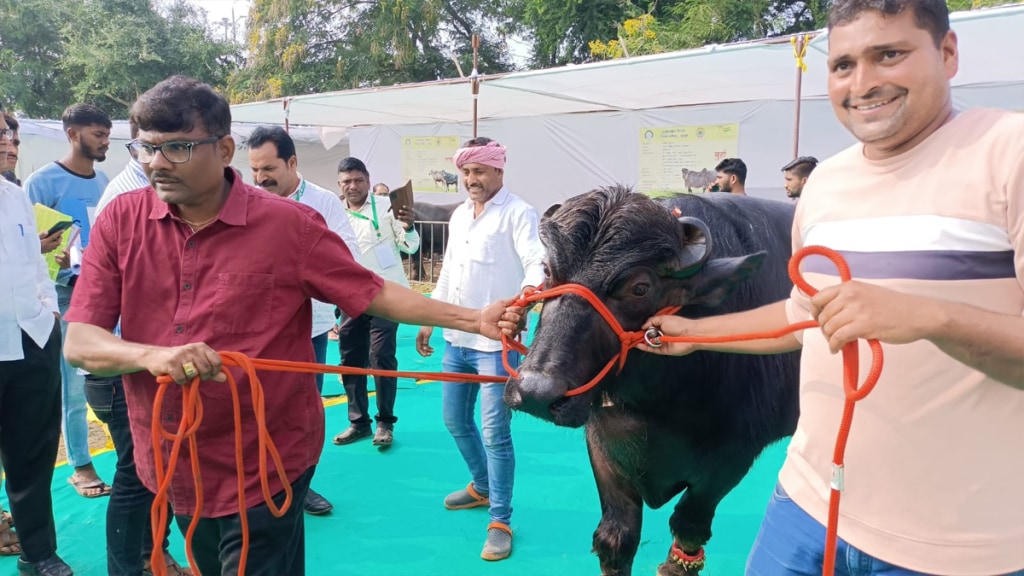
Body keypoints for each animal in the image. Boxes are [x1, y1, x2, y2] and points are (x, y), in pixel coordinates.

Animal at [503, 187, 798, 573]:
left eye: (640, 288)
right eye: (548, 270)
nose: (536, 393)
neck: (659, 404)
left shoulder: (733, 459)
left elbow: (689, 525)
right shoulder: (604, 445)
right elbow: (616, 537)